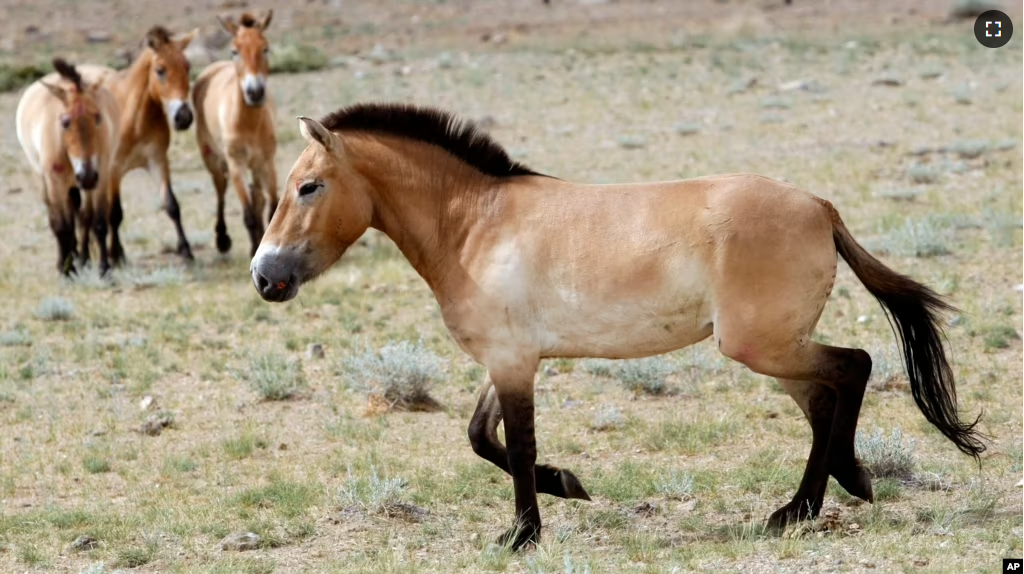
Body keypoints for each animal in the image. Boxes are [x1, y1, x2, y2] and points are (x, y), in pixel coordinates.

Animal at [15, 59, 120, 274]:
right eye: (64, 122)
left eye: (98, 118)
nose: (86, 175)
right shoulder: (56, 182)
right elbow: (62, 226)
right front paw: (67, 270)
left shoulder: (101, 177)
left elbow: (98, 223)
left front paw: (104, 269)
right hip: (45, 182)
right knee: (63, 219)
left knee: (83, 217)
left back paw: (83, 258)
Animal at [78, 26, 198, 263]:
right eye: (160, 70)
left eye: (187, 66)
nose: (184, 117)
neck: (134, 119)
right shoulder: (114, 169)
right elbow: (114, 214)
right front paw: (116, 255)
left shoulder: (157, 161)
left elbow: (171, 205)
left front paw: (186, 250)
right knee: (86, 213)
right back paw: (86, 254)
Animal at [192, 8, 278, 254]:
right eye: (235, 51)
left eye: (265, 48)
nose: (255, 92)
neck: (248, 123)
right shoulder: (236, 164)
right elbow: (249, 215)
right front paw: (254, 248)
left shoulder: (266, 162)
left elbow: (272, 206)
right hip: (212, 158)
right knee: (220, 190)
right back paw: (222, 239)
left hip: (255, 166)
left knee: (257, 196)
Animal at [245, 105, 983, 548]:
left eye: (308, 186)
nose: (264, 276)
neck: (475, 225)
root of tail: (819, 206)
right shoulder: (511, 358)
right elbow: (482, 437)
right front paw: (568, 485)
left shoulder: (513, 362)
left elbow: (514, 447)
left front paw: (523, 534)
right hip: (775, 350)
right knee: (826, 398)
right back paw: (827, 494)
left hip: (760, 345)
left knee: (853, 367)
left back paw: (809, 503)